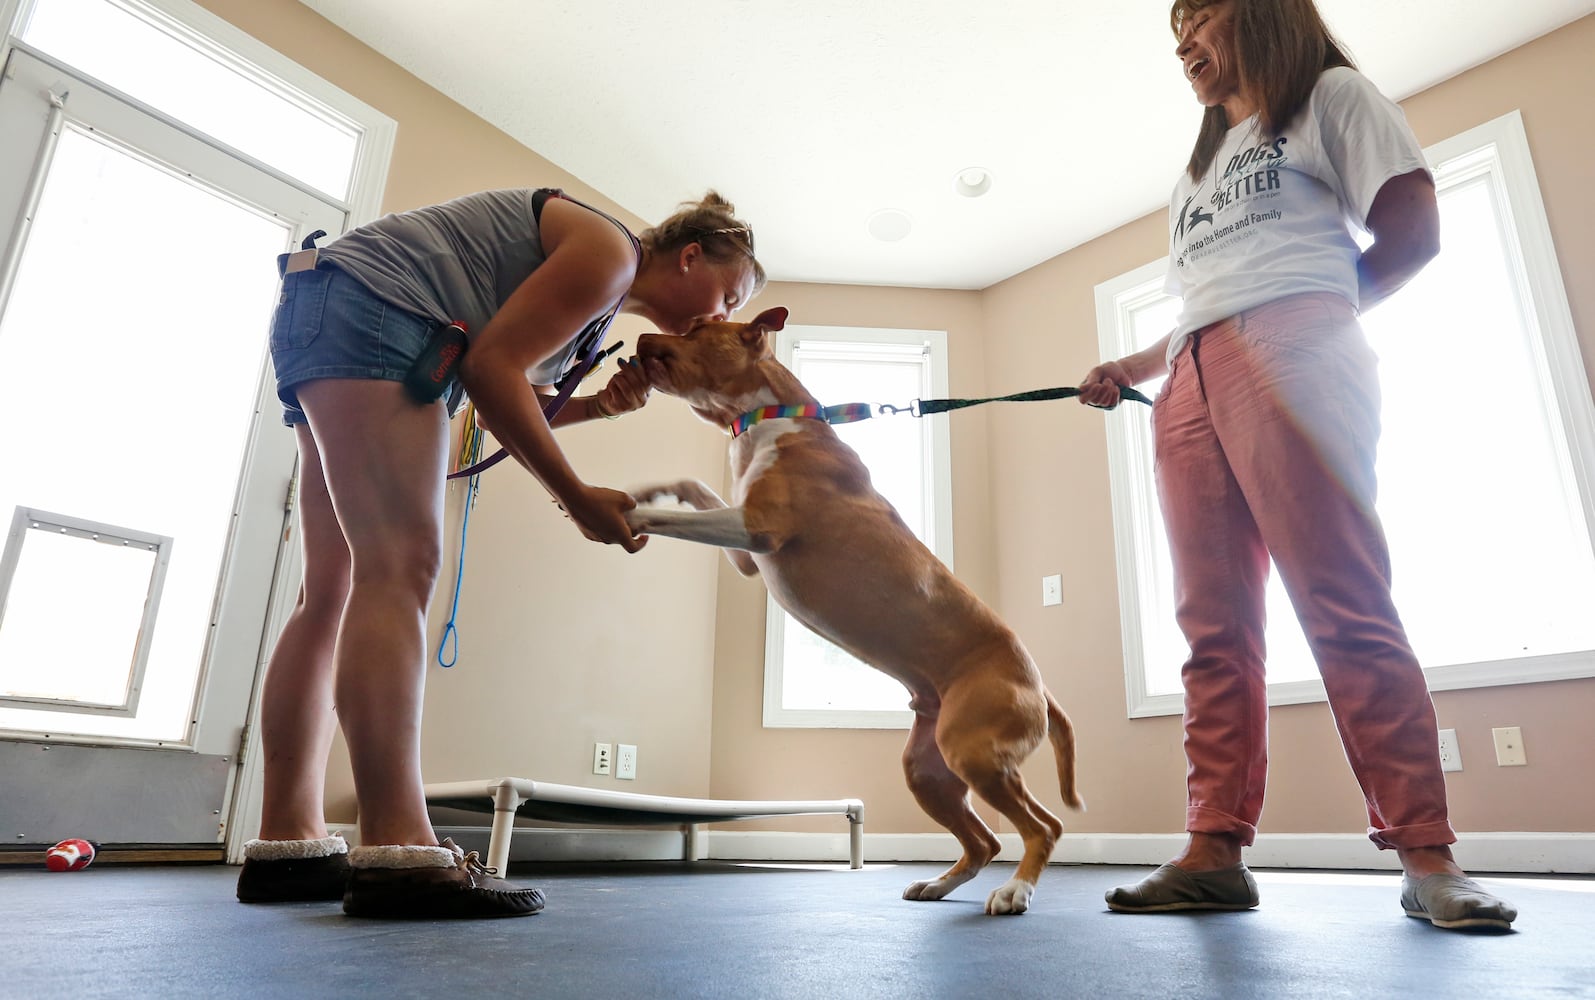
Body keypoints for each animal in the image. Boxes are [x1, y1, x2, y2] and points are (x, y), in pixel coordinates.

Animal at [625, 304, 1084, 918]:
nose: (640, 335)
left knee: (1043, 827)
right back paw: (940, 883)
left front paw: (623, 510)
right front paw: (645, 488)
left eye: (700, 328)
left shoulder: (758, 528)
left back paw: (1016, 889)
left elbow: (672, 518)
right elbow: (691, 486)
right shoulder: (746, 551)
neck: (771, 418)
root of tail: (1040, 686)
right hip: (930, 769)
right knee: (984, 840)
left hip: (976, 755)